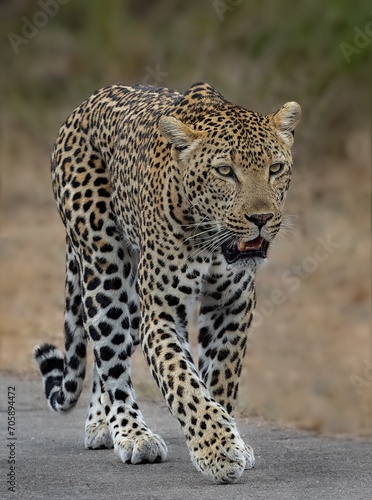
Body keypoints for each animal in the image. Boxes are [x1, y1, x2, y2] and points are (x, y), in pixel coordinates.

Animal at [33, 83, 300, 484]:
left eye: (275, 168)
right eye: (225, 171)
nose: (261, 218)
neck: (211, 242)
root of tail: (87, 102)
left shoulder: (232, 307)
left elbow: (220, 378)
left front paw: (229, 439)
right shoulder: (161, 313)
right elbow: (183, 382)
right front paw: (218, 451)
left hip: (129, 298)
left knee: (105, 353)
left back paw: (101, 424)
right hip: (105, 269)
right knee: (110, 357)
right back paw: (130, 434)